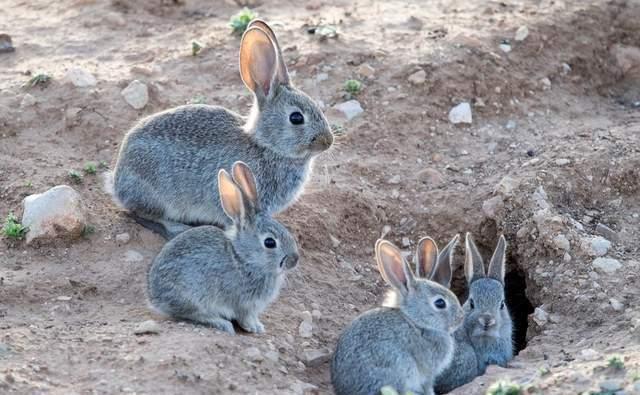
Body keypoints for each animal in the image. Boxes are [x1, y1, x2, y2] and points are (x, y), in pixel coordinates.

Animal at [105, 20, 332, 240]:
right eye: (296, 118)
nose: (328, 141)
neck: (265, 145)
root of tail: (117, 183)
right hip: (156, 194)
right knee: (143, 213)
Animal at [148, 161, 300, 334]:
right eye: (269, 242)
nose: (294, 260)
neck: (243, 258)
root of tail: (154, 296)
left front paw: (259, 326)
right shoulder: (243, 304)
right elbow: (245, 318)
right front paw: (255, 328)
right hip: (192, 297)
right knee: (192, 314)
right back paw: (221, 323)